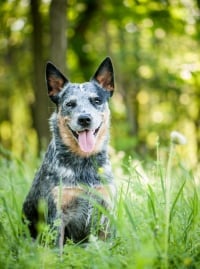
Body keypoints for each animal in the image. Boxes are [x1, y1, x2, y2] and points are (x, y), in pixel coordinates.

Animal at [22, 56, 115, 247]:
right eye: (70, 104)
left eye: (96, 100)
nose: (84, 118)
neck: (84, 165)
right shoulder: (57, 214)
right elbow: (56, 248)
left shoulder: (106, 210)